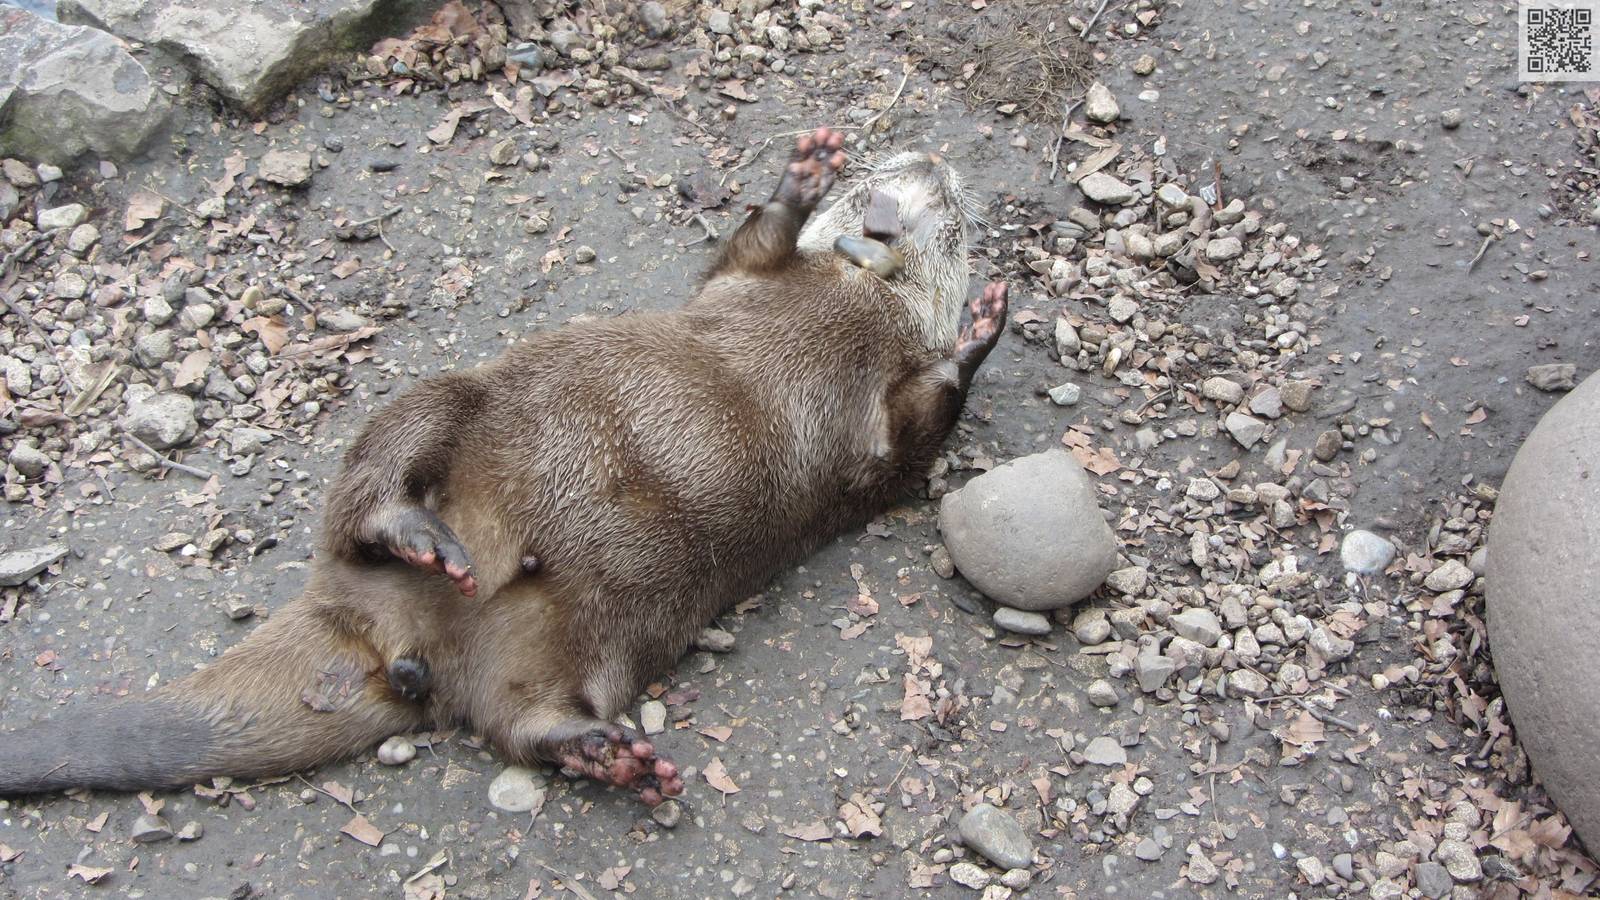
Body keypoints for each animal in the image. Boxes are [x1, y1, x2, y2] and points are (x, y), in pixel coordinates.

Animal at [0, 128, 1007, 806]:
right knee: (367, 488)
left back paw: (605, 752)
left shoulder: (876, 449)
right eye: (892, 173)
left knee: (519, 719)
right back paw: (411, 533)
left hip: (586, 640)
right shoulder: (739, 281)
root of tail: (390, 629)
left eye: (960, 226)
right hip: (446, 403)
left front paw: (979, 330)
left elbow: (914, 435)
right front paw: (804, 177)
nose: (937, 166)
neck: (855, 298)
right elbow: (752, 239)